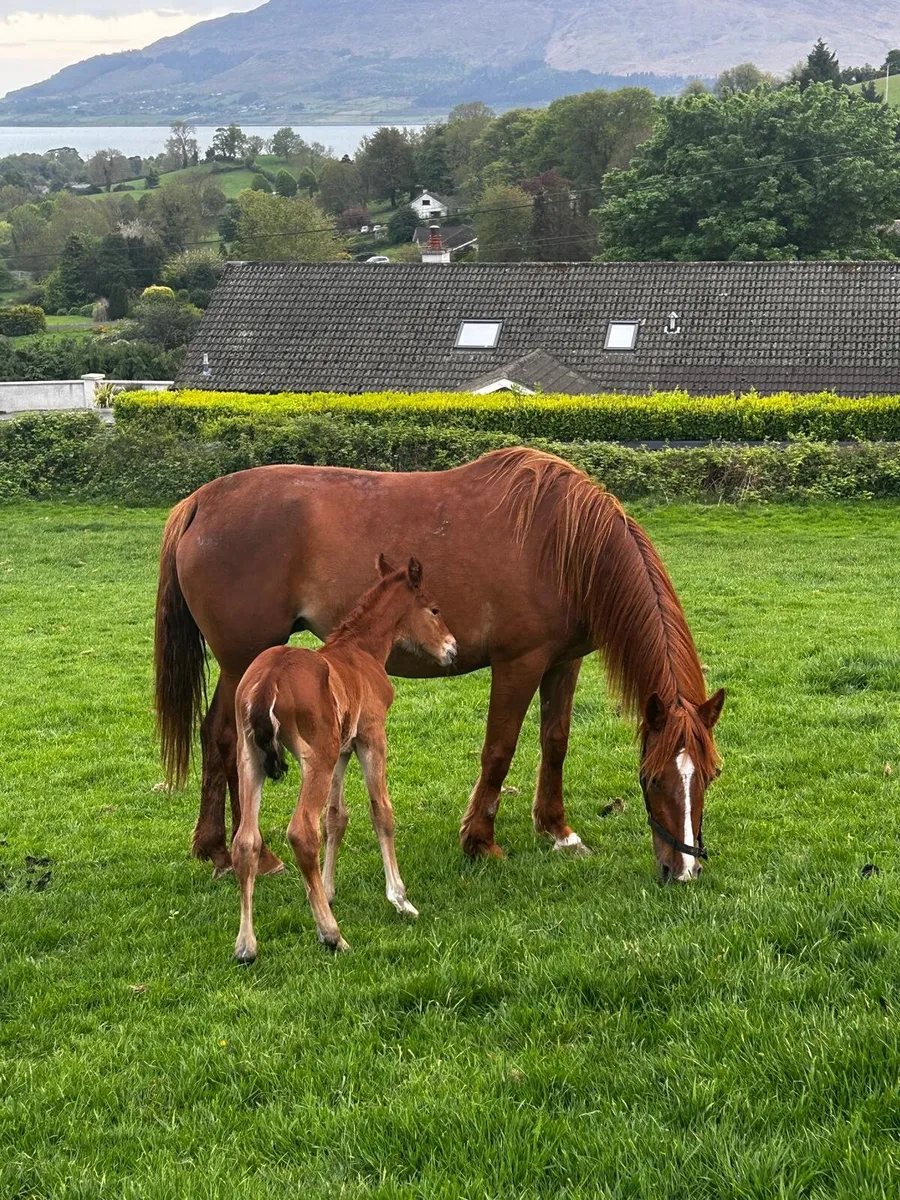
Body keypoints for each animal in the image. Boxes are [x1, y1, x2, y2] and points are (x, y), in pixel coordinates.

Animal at [155, 447, 725, 884]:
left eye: (710, 775)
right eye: (651, 779)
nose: (684, 871)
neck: (564, 545)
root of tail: (201, 501)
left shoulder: (564, 663)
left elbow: (555, 742)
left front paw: (557, 830)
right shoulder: (519, 664)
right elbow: (499, 750)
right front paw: (480, 841)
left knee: (215, 736)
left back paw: (216, 848)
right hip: (243, 661)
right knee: (230, 739)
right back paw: (248, 853)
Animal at [232, 554, 457, 960]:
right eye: (434, 609)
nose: (453, 648)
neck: (361, 651)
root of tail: (268, 683)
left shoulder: (341, 751)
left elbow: (335, 817)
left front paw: (327, 889)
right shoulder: (371, 738)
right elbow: (381, 811)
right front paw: (400, 898)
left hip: (251, 758)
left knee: (246, 840)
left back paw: (246, 945)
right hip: (314, 759)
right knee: (301, 832)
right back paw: (331, 934)